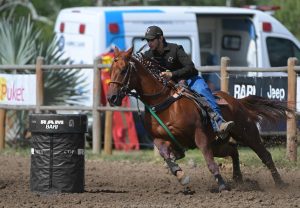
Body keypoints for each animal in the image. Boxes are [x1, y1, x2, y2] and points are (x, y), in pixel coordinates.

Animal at [108, 46, 292, 193]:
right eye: (110, 70)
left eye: (123, 70)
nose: (111, 97)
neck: (163, 102)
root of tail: (237, 101)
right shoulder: (160, 139)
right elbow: (166, 156)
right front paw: (181, 175)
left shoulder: (200, 134)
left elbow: (210, 162)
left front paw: (222, 185)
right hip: (218, 144)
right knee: (234, 151)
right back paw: (238, 179)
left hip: (246, 133)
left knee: (265, 155)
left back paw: (280, 183)